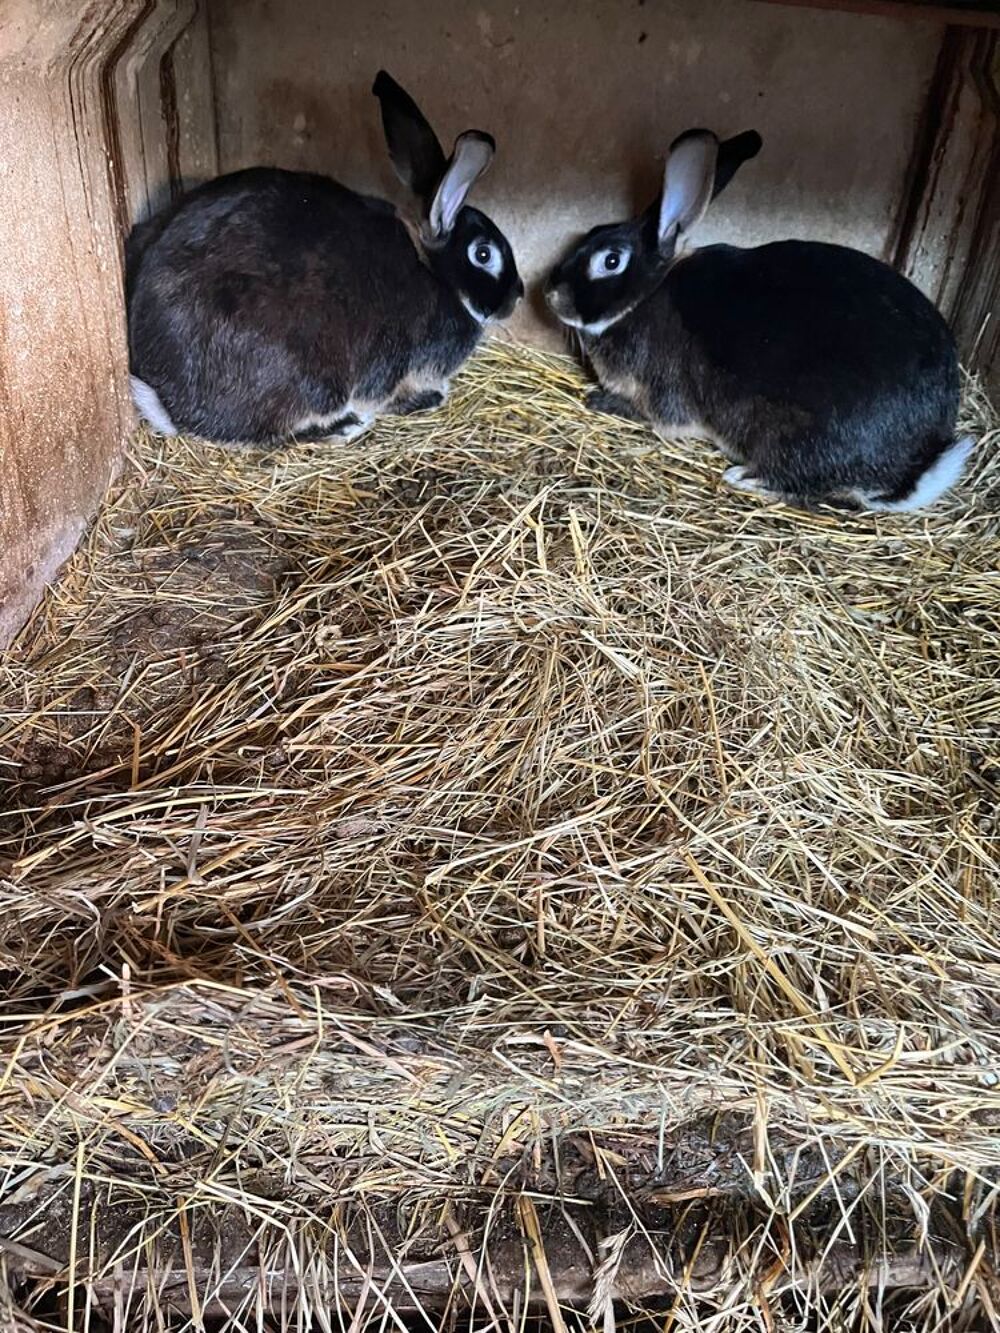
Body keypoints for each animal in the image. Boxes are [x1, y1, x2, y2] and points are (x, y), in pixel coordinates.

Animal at [126, 71, 523, 446]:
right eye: (483, 254)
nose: (517, 295)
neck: (436, 275)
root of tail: (171, 405)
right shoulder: (394, 372)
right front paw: (429, 399)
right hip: (312, 380)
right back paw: (345, 426)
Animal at [544, 128, 973, 512]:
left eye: (610, 260)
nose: (550, 294)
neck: (645, 296)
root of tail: (911, 472)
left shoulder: (664, 396)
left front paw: (600, 400)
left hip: (792, 440)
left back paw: (744, 477)